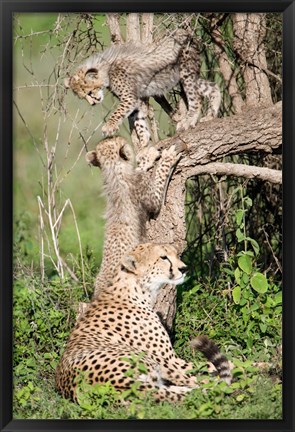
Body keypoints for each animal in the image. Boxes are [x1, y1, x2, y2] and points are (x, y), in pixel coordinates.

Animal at [55, 241, 231, 404]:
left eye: (175, 254)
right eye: (163, 257)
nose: (184, 269)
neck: (136, 289)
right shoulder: (170, 359)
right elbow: (209, 365)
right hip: (153, 362)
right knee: (198, 381)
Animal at [65, 31, 222, 148]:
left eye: (89, 92)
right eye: (83, 97)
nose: (93, 103)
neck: (107, 69)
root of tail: (187, 33)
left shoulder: (129, 97)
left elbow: (118, 112)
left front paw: (109, 126)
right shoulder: (137, 99)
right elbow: (139, 119)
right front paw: (144, 140)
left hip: (185, 72)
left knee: (196, 99)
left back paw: (188, 121)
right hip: (190, 75)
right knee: (213, 87)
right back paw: (210, 116)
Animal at [85, 135, 183, 300]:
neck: (114, 171)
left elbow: (139, 168)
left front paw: (147, 157)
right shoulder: (151, 198)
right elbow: (156, 177)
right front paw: (166, 157)